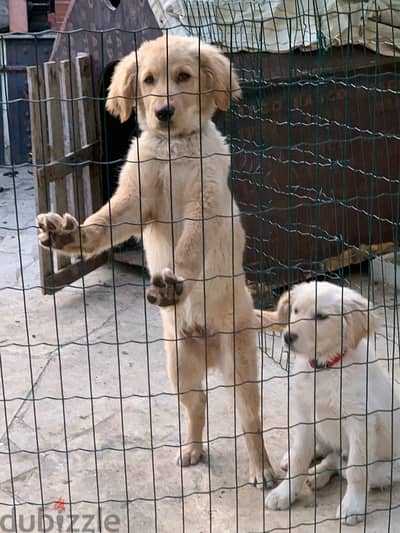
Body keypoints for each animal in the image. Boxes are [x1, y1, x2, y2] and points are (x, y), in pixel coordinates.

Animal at [36, 34, 276, 486]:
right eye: (148, 81)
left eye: (182, 77)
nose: (163, 112)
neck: (172, 148)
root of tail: (207, 344)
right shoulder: (135, 201)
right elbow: (103, 222)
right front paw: (69, 236)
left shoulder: (204, 206)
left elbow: (187, 250)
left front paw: (173, 282)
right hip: (177, 367)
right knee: (199, 405)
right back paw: (192, 449)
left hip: (240, 365)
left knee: (250, 420)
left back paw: (262, 469)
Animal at [264, 280, 398, 524]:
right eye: (295, 310)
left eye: (321, 317)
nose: (288, 337)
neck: (326, 368)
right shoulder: (304, 414)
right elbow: (300, 457)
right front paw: (284, 493)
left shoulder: (360, 422)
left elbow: (356, 470)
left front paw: (352, 507)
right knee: (325, 452)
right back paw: (305, 466)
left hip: (385, 470)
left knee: (342, 464)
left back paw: (318, 474)